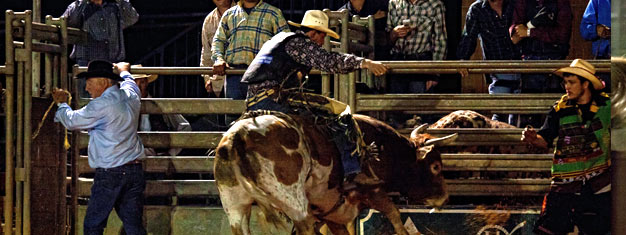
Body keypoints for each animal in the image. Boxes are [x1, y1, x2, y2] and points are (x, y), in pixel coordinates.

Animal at [213, 113, 454, 234]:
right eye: (435, 166)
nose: (445, 197)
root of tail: (238, 136)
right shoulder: (372, 190)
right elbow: (394, 214)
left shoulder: (331, 210)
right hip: (293, 200)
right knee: (304, 227)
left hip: (234, 205)